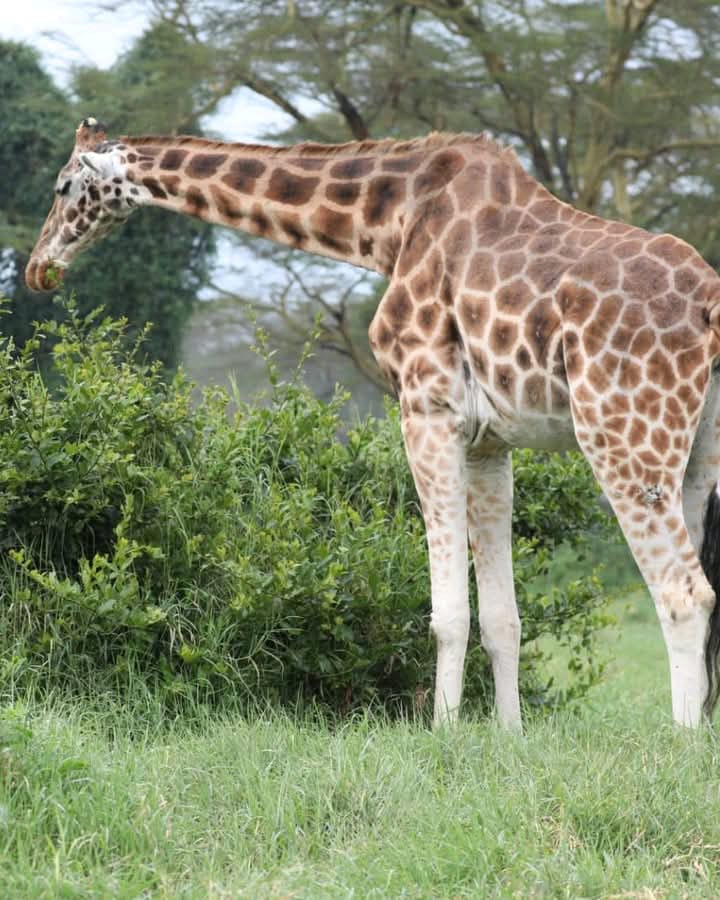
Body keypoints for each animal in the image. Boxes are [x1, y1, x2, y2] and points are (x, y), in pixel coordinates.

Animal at [26, 117, 720, 730]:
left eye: (61, 188)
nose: (38, 268)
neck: (389, 225)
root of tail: (710, 305)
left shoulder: (426, 407)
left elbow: (447, 613)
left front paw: (442, 735)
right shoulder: (490, 441)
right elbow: (502, 617)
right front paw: (507, 736)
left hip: (621, 428)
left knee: (683, 592)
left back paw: (678, 743)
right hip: (695, 453)